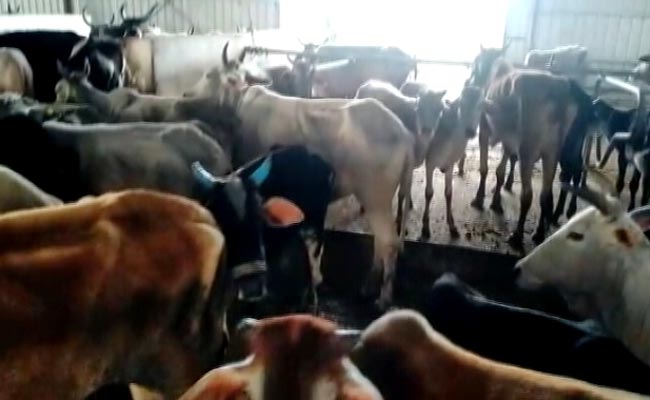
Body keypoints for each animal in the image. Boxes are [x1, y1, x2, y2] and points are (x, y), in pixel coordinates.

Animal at [186, 53, 417, 308]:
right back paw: (368, 286)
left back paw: (383, 298)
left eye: (209, 74)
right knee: (381, 242)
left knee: (388, 243)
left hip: (376, 197)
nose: (187, 94)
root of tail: (403, 132)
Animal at [420, 85, 483, 238]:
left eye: (480, 106)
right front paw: (425, 227)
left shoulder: (449, 165)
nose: (470, 131)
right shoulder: (429, 162)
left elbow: (449, 193)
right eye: (462, 105)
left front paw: (452, 226)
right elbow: (429, 193)